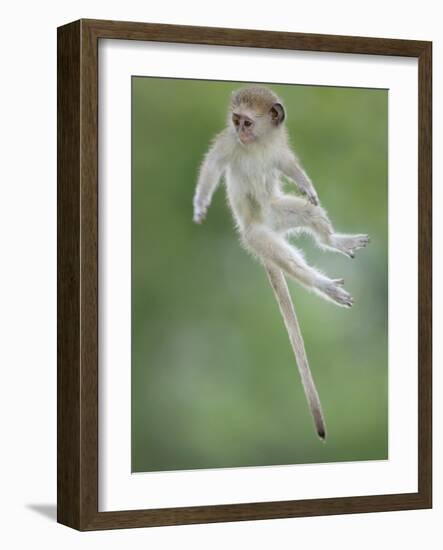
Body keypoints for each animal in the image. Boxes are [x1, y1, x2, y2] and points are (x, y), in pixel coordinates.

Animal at [193, 85, 370, 440]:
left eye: (247, 122)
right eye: (236, 121)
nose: (240, 132)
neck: (257, 144)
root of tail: (265, 225)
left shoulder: (278, 148)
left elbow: (289, 165)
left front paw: (306, 184)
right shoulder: (228, 143)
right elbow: (213, 164)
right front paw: (200, 203)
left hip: (279, 210)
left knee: (311, 213)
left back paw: (334, 241)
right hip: (258, 236)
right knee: (285, 257)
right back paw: (323, 284)